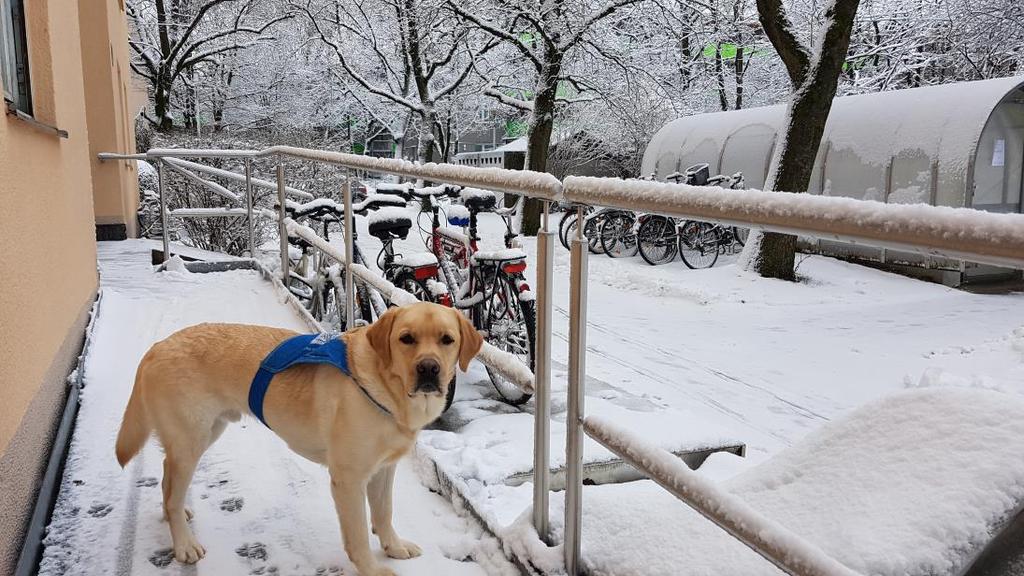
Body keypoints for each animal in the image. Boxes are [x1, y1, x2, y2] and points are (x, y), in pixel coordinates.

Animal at [114, 303, 481, 569]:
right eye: (406, 339)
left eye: (447, 340)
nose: (429, 368)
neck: (386, 387)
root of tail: (158, 347)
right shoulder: (348, 480)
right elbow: (359, 536)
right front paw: (373, 569)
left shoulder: (383, 469)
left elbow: (384, 513)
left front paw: (393, 546)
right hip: (191, 439)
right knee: (173, 492)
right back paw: (184, 544)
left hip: (205, 433)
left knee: (167, 480)